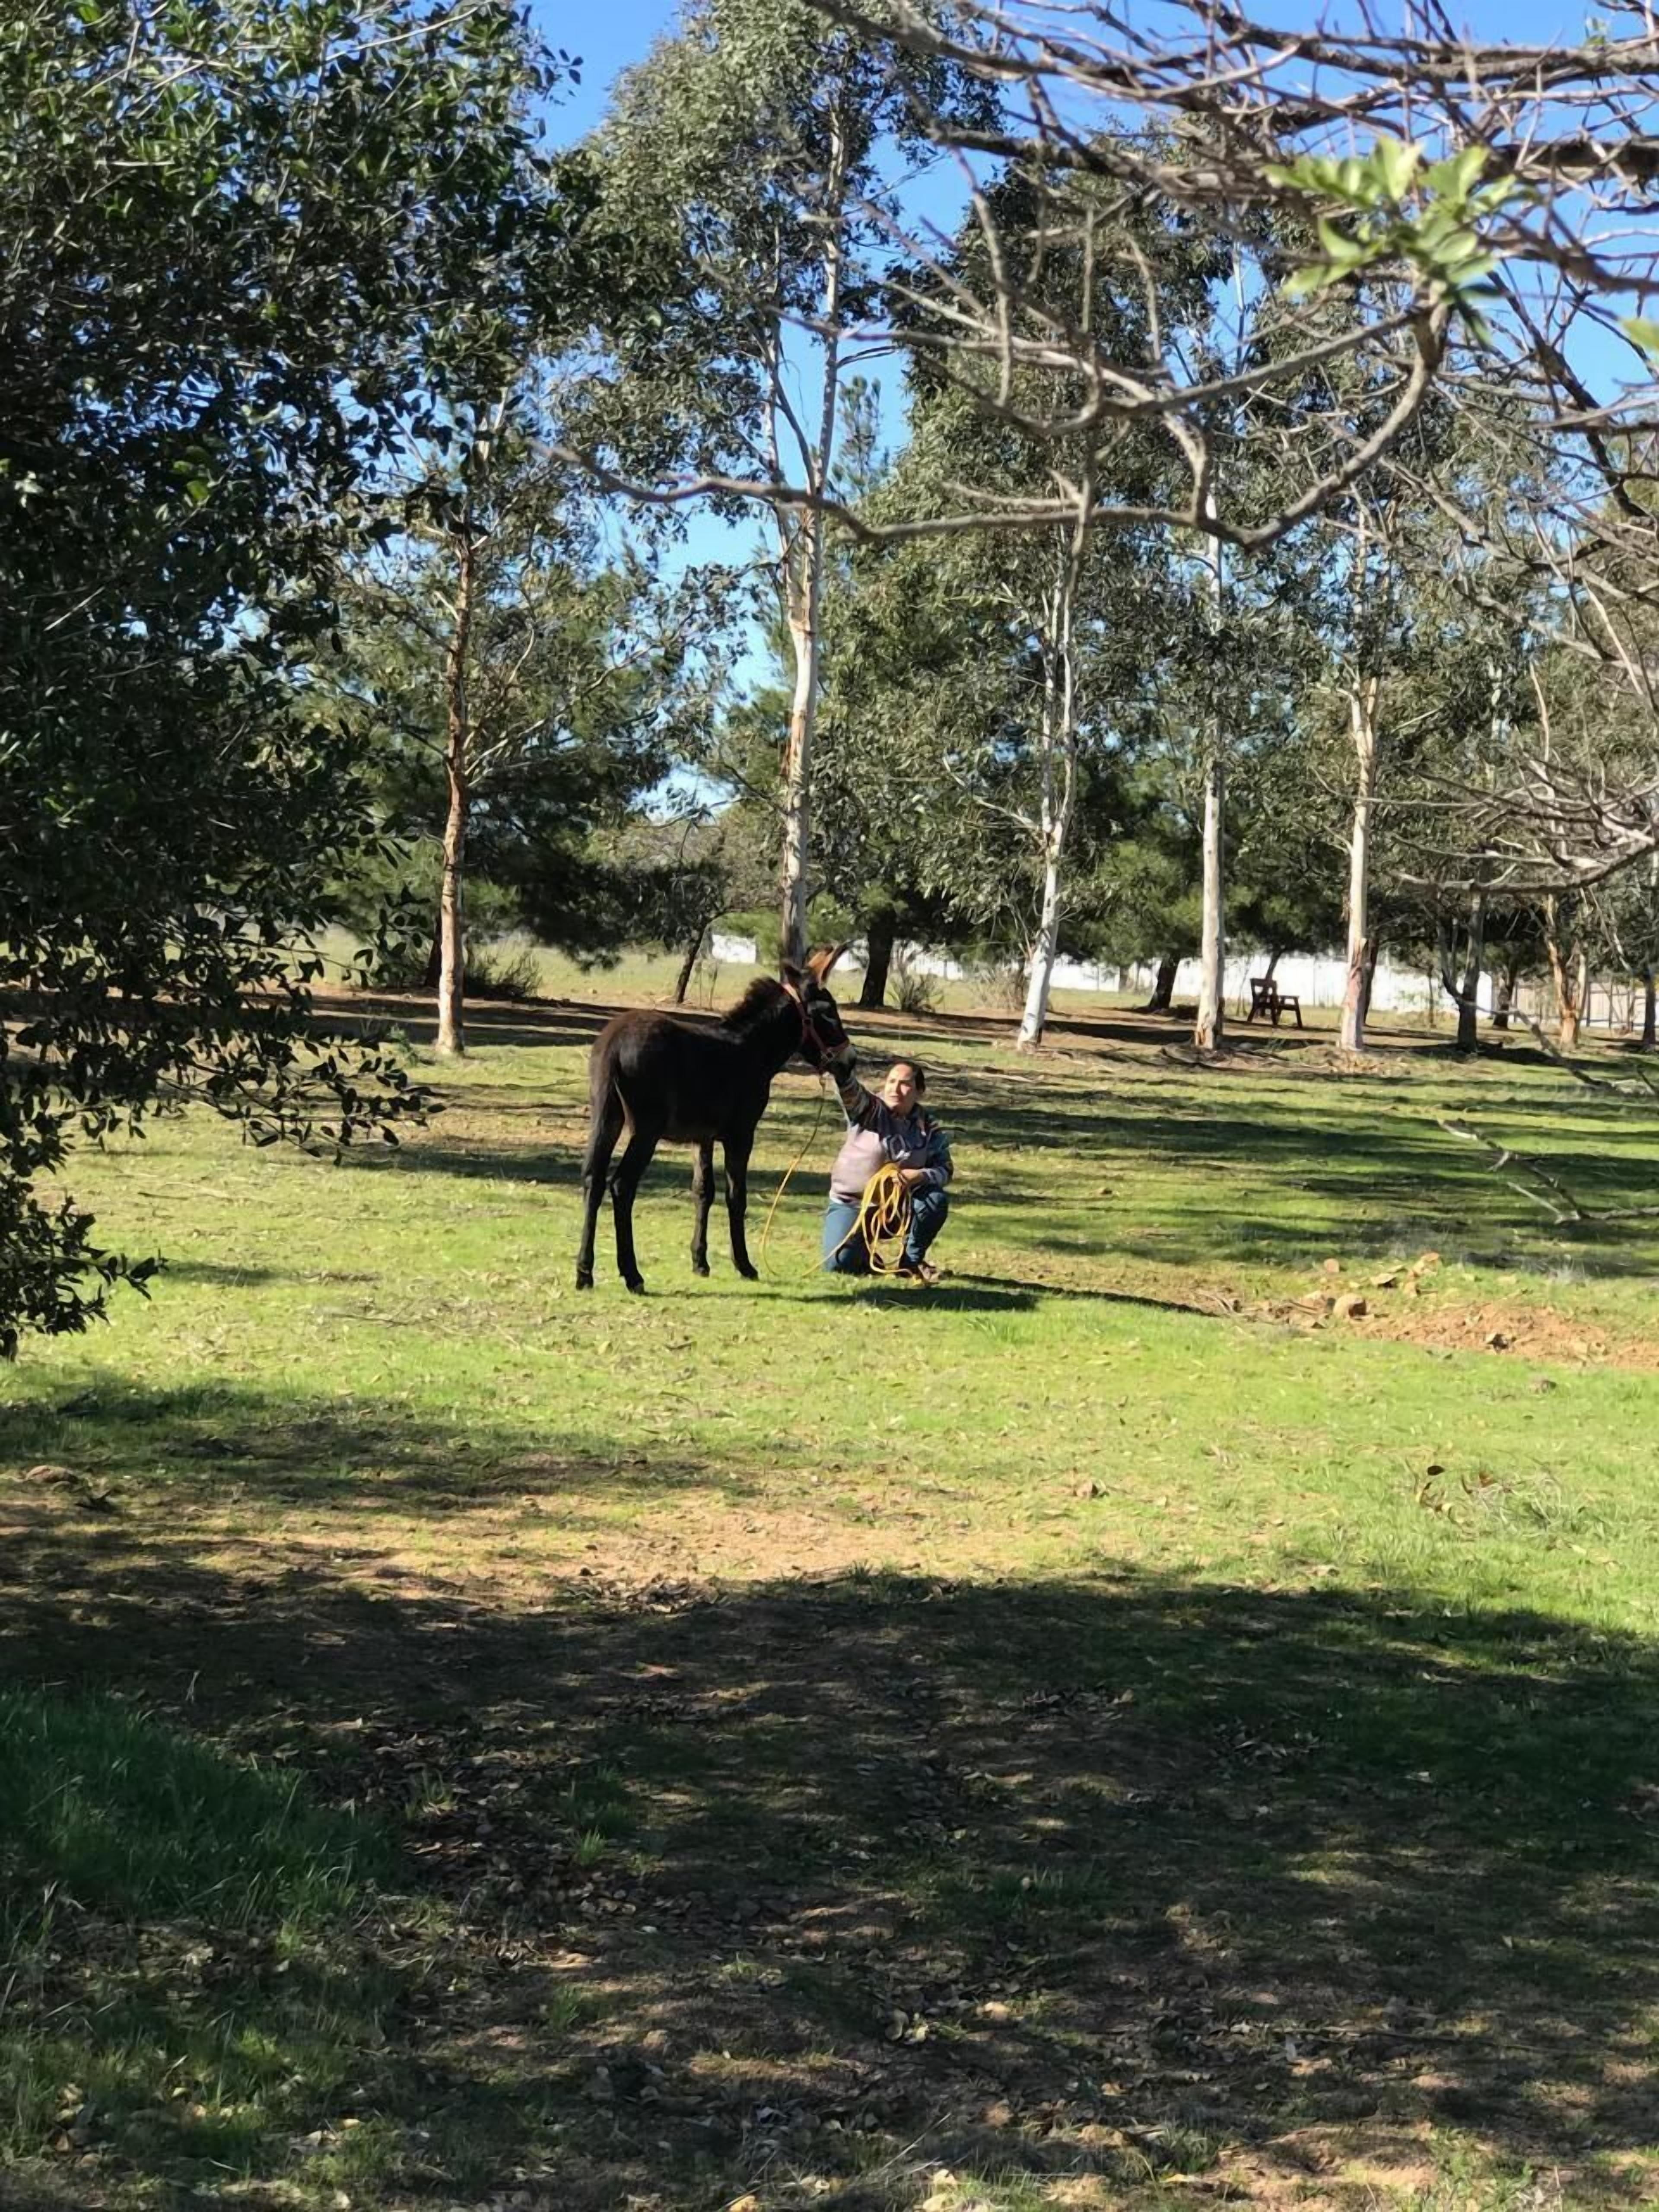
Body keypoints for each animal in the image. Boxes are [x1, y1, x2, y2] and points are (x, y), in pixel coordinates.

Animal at [574, 950, 851, 1294]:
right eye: (828, 1014)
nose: (850, 1062)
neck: (752, 1049)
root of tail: (614, 1043)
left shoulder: (702, 1137)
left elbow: (703, 1191)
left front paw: (700, 1262)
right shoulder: (742, 1135)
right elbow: (736, 1196)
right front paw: (744, 1265)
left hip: (606, 1117)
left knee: (593, 1180)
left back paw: (584, 1272)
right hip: (646, 1130)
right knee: (622, 1185)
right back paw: (632, 1274)